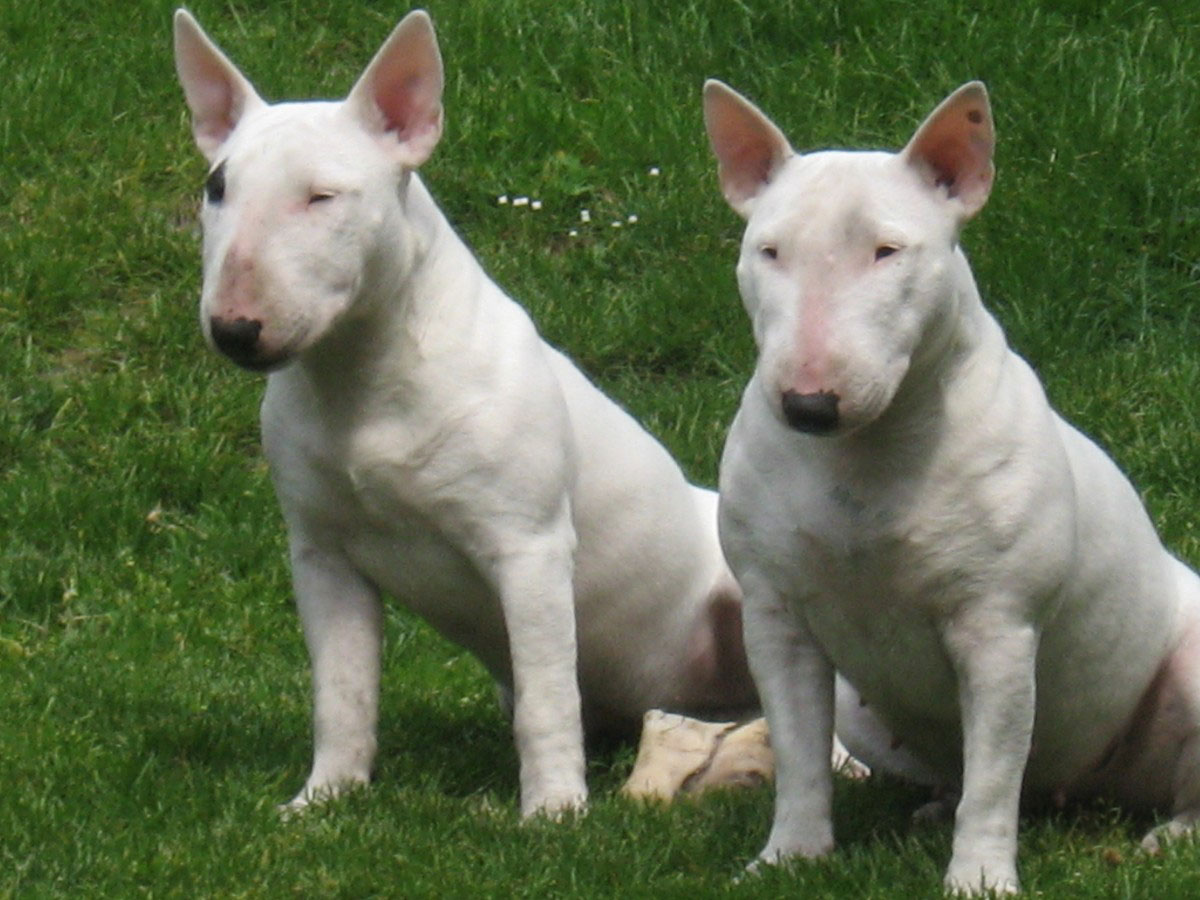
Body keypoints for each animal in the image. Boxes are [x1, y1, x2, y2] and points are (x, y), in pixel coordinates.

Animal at [168, 7, 758, 820]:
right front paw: (323, 799)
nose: (233, 329)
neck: (362, 382)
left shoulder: (530, 547)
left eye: (322, 197)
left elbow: (546, 695)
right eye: (216, 187)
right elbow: (342, 691)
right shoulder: (322, 556)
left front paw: (553, 813)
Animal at [700, 79, 1200, 897]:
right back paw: (933, 807)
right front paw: (788, 857)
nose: (808, 406)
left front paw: (980, 878)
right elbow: (799, 754)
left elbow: (995, 774)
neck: (865, 459)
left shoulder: (997, 626)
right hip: (861, 710)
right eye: (768, 251)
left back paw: (1171, 835)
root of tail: (1092, 791)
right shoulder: (777, 618)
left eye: (887, 251)